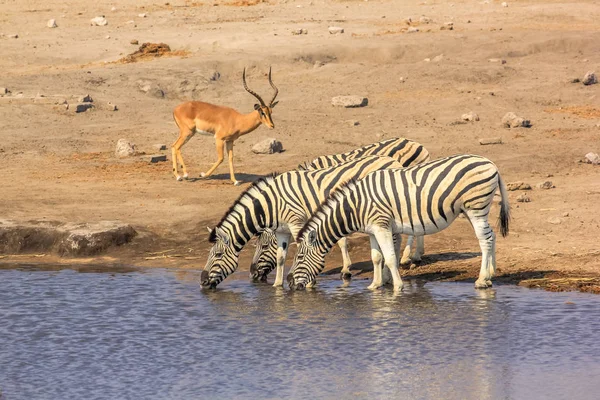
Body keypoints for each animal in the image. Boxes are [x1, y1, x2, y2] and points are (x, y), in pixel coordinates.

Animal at [200, 155, 412, 290]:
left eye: (217, 255)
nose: (202, 283)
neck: (271, 204)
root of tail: (392, 160)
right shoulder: (282, 230)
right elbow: (281, 257)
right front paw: (278, 285)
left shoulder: (297, 223)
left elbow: (303, 249)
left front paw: (309, 283)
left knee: (397, 241)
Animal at [250, 138, 432, 282]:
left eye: (264, 246)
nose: (252, 274)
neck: (304, 192)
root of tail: (417, 144)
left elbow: (341, 241)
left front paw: (345, 270)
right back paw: (416, 255)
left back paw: (407, 258)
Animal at [288, 155, 508, 292]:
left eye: (299, 257)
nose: (290, 284)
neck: (355, 207)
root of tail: (491, 163)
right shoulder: (372, 230)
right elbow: (376, 257)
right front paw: (375, 285)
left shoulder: (382, 226)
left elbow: (390, 257)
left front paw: (397, 287)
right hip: (472, 210)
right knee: (491, 236)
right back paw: (491, 274)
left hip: (476, 208)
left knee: (484, 240)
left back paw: (481, 280)